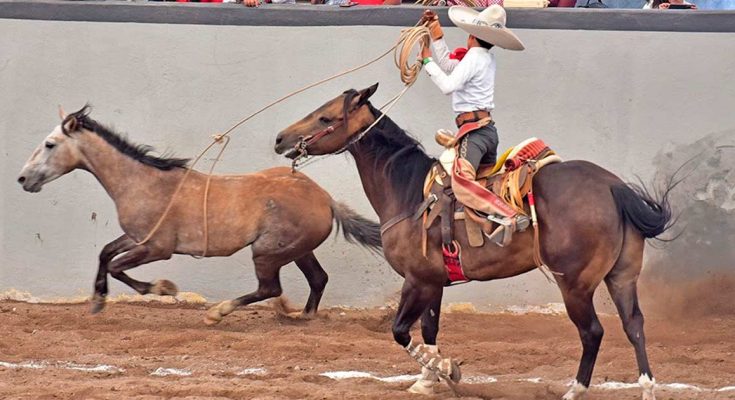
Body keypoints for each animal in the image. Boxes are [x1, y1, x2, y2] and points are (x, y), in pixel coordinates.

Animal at [19, 105, 382, 324]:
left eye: (50, 144)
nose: (23, 179)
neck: (142, 182)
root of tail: (326, 199)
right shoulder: (137, 237)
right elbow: (106, 253)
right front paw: (97, 301)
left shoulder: (157, 248)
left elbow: (116, 265)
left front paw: (163, 288)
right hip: (297, 250)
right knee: (317, 279)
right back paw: (302, 317)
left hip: (267, 252)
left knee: (270, 289)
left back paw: (217, 313)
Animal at [274, 83, 676, 398]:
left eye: (325, 118)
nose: (280, 139)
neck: (408, 192)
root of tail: (612, 186)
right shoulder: (433, 281)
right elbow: (429, 328)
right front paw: (427, 380)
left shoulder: (417, 281)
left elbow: (401, 331)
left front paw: (447, 370)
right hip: (621, 276)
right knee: (634, 326)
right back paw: (647, 388)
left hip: (575, 285)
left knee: (593, 333)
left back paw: (574, 391)